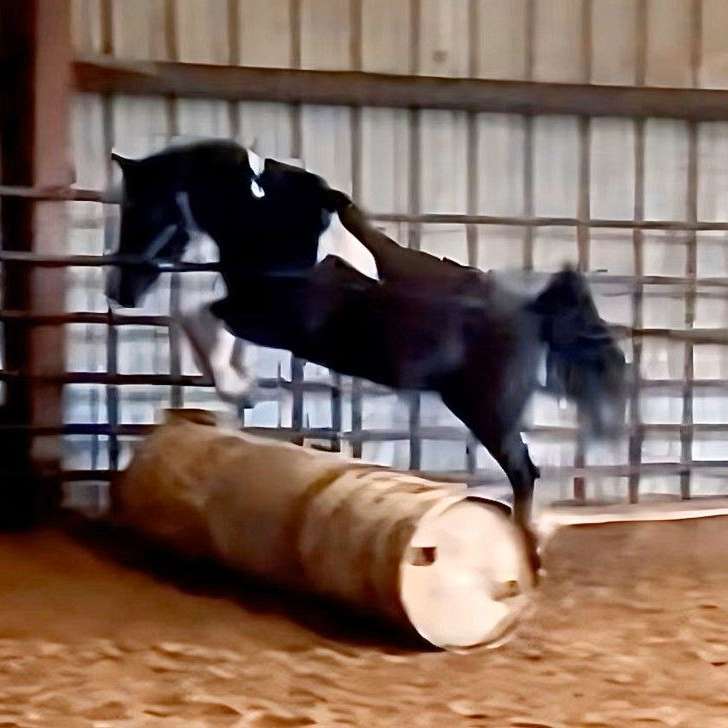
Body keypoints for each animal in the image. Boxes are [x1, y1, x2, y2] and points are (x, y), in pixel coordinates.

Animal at [105, 138, 628, 568]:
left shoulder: (278, 317)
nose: (120, 290)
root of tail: (533, 312)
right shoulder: (255, 310)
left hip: (488, 411)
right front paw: (241, 386)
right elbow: (207, 323)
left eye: (142, 210)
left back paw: (529, 548)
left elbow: (196, 315)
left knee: (524, 471)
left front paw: (236, 385)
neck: (273, 224)